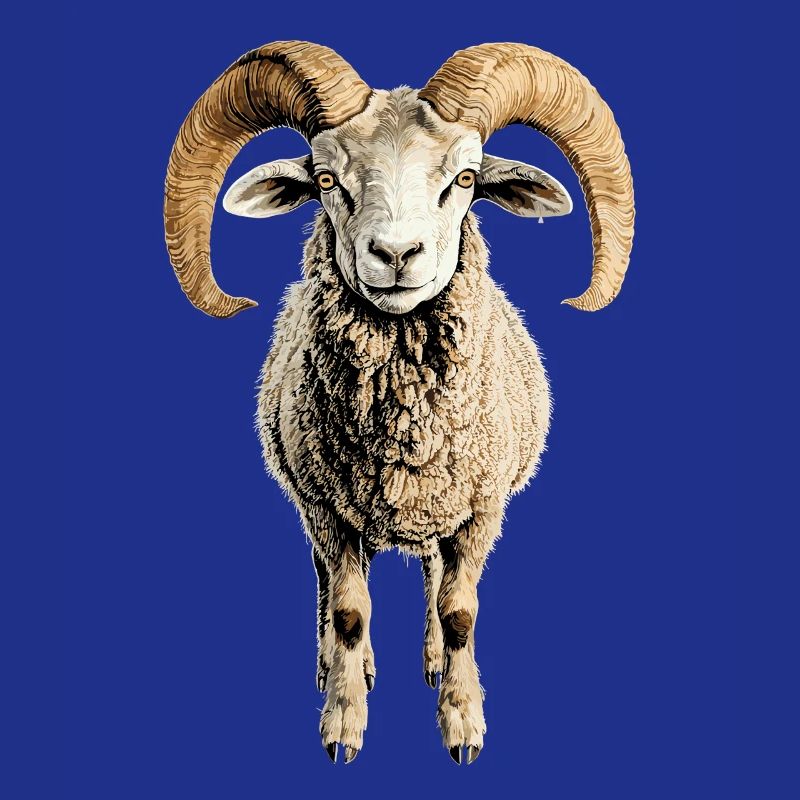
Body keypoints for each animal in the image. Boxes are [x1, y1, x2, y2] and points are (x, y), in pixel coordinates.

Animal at [164, 41, 635, 765]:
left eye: (465, 178)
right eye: (326, 178)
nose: (395, 253)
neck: (405, 435)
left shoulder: (480, 510)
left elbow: (460, 610)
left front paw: (463, 723)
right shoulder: (328, 509)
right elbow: (351, 612)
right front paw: (342, 724)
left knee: (434, 579)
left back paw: (434, 662)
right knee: (329, 585)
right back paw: (340, 667)